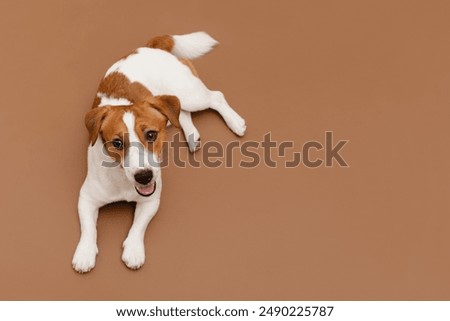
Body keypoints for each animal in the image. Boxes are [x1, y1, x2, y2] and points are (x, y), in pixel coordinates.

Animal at [71, 31, 246, 272]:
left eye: (151, 135)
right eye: (117, 143)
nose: (144, 176)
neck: (124, 181)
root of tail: (150, 47)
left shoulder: (151, 201)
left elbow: (138, 227)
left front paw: (134, 250)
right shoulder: (86, 198)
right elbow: (88, 228)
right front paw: (85, 252)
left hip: (191, 94)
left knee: (215, 97)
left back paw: (235, 121)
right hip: (176, 103)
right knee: (181, 114)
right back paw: (192, 136)